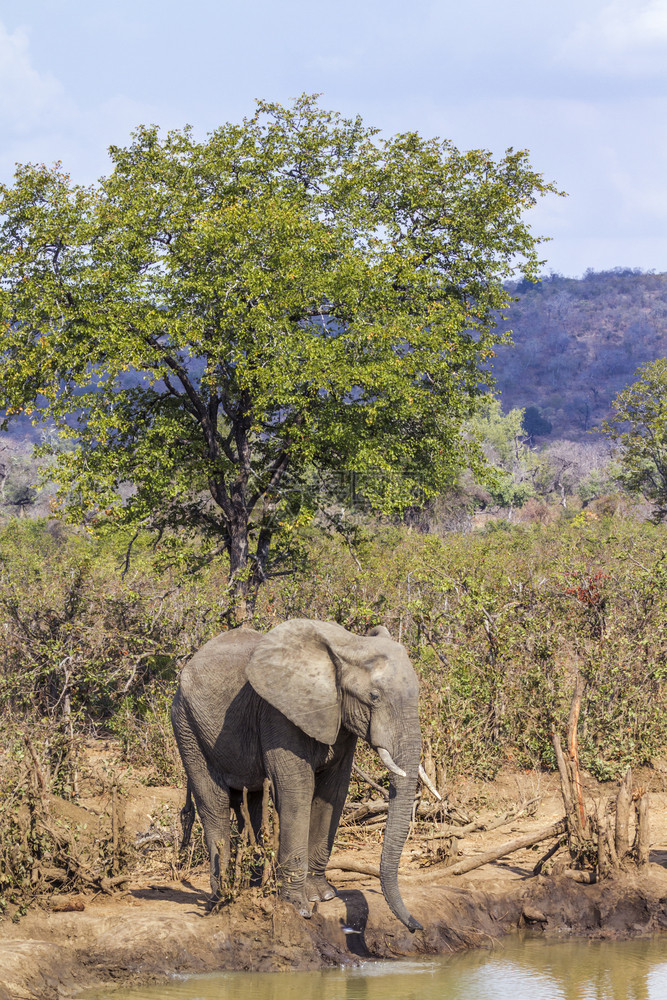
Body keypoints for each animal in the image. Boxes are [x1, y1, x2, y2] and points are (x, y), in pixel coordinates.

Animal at [171, 616, 434, 928]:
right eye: (373, 696)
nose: (416, 927)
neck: (347, 645)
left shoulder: (339, 718)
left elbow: (332, 792)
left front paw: (323, 896)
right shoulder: (278, 715)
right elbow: (297, 791)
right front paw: (298, 908)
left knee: (253, 803)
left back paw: (252, 891)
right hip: (186, 725)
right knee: (214, 803)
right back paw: (220, 899)